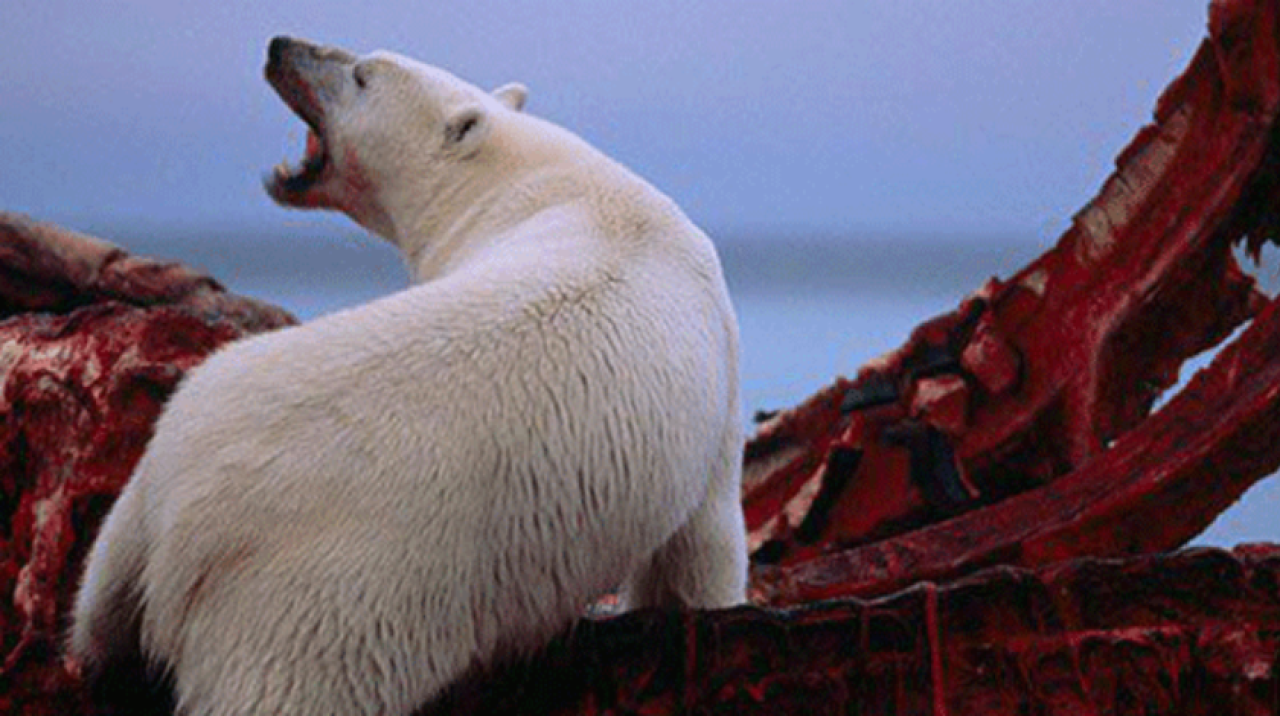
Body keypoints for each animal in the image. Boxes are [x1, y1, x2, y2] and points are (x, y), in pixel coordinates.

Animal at [67, 35, 747, 716]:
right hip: (330, 599)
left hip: (162, 485)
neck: (535, 182)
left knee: (99, 609)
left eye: (362, 74)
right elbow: (702, 545)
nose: (279, 46)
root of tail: (188, 516)